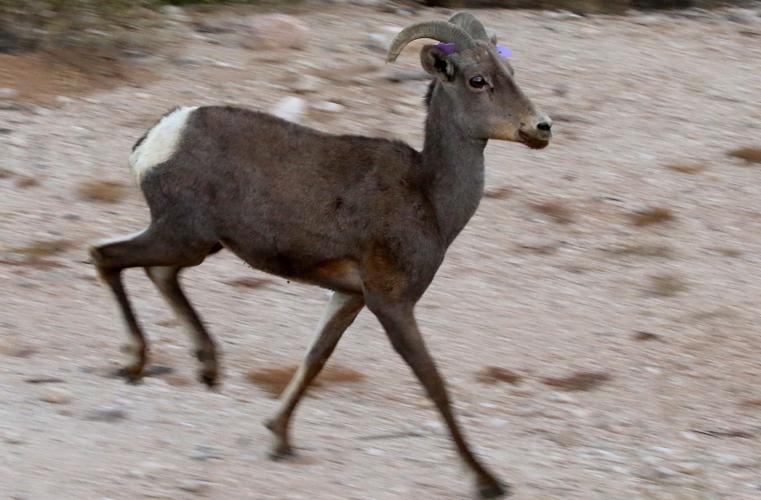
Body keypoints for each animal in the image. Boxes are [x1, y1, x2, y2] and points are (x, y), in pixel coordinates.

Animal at [89, 12, 551, 499]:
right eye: (478, 80)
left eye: (511, 73)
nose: (542, 128)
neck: (429, 196)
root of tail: (159, 138)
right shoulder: (391, 303)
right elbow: (433, 381)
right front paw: (487, 481)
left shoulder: (349, 297)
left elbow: (316, 358)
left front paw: (279, 438)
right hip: (183, 237)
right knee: (106, 255)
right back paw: (134, 363)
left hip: (195, 244)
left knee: (158, 274)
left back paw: (208, 368)